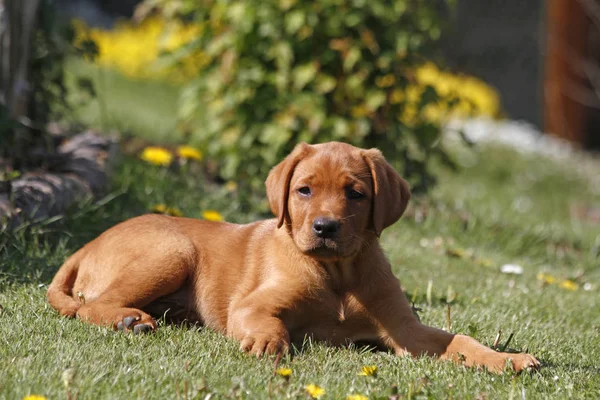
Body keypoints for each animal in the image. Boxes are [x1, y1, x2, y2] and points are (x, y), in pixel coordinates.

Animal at [49, 142, 540, 374]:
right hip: (174, 251)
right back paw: (128, 320)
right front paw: (268, 341)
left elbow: (461, 341)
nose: (325, 228)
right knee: (93, 305)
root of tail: (87, 245)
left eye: (355, 194)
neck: (338, 273)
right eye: (304, 190)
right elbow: (270, 323)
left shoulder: (406, 330)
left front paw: (509, 359)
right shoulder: (251, 305)